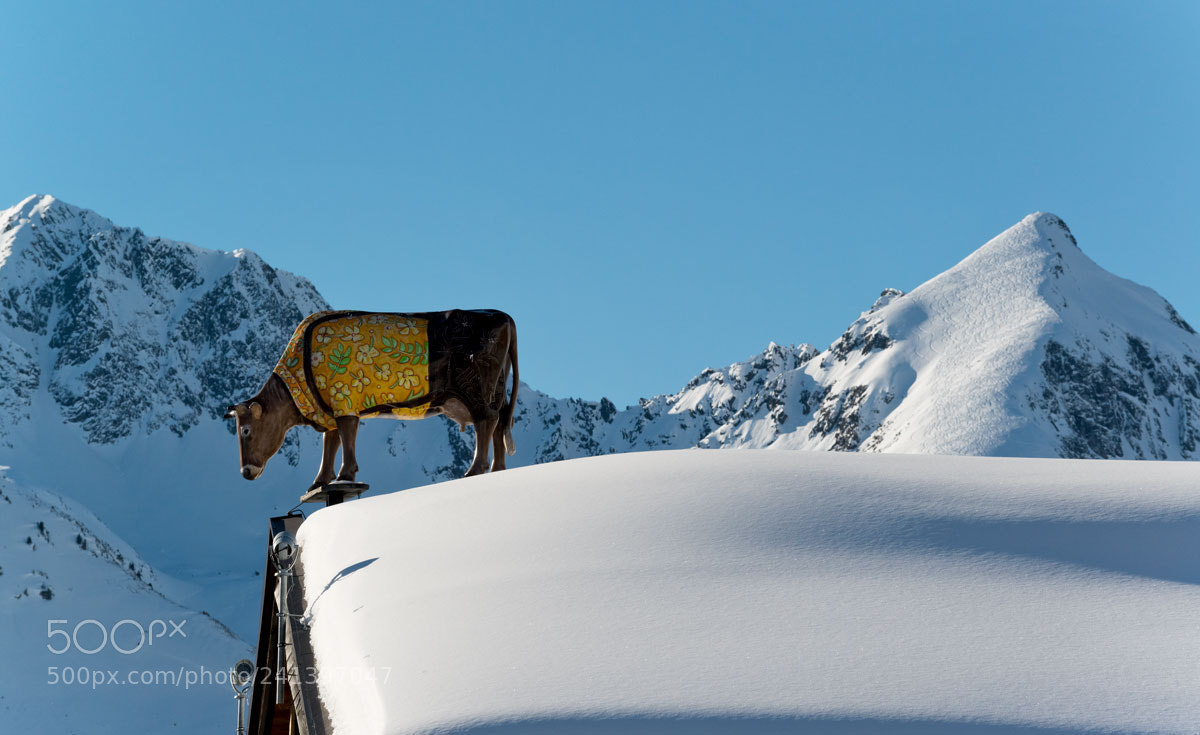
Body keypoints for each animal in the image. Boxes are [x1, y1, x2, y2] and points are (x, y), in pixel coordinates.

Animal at [226, 309, 518, 490]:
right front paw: (319, 481)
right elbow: (330, 444)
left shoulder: (343, 402)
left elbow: (346, 439)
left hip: (477, 389)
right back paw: (498, 468)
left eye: (246, 430)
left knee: (487, 421)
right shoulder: (330, 410)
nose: (245, 472)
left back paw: (476, 468)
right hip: (497, 390)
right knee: (499, 424)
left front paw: (345, 474)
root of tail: (500, 315)